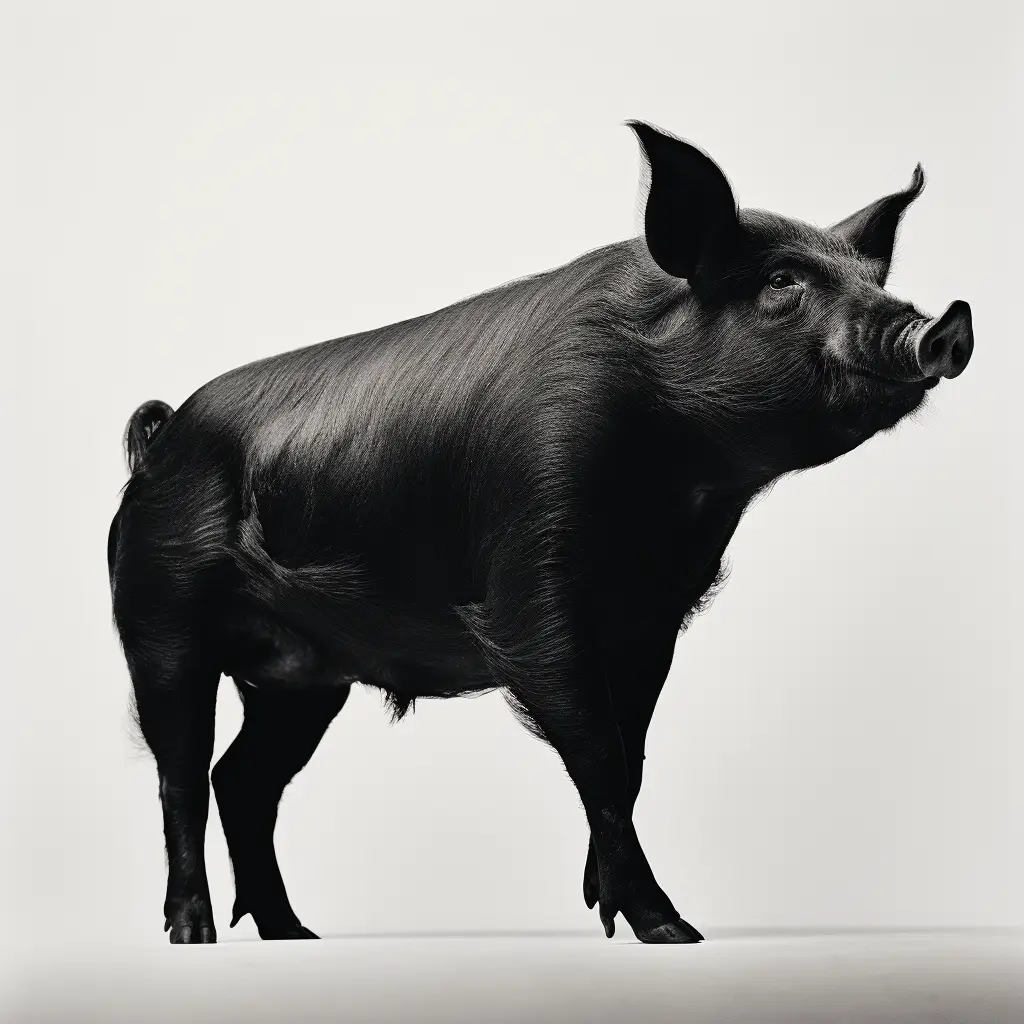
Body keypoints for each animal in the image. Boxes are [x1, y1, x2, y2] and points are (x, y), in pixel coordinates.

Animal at [108, 122, 974, 945]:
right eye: (782, 283)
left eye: (871, 279)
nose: (946, 323)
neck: (677, 482)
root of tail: (159, 441)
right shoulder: (531, 585)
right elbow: (598, 754)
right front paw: (671, 930)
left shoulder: (652, 615)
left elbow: (632, 756)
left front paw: (605, 910)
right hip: (159, 619)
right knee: (181, 775)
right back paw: (194, 934)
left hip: (305, 676)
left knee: (243, 781)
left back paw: (296, 932)